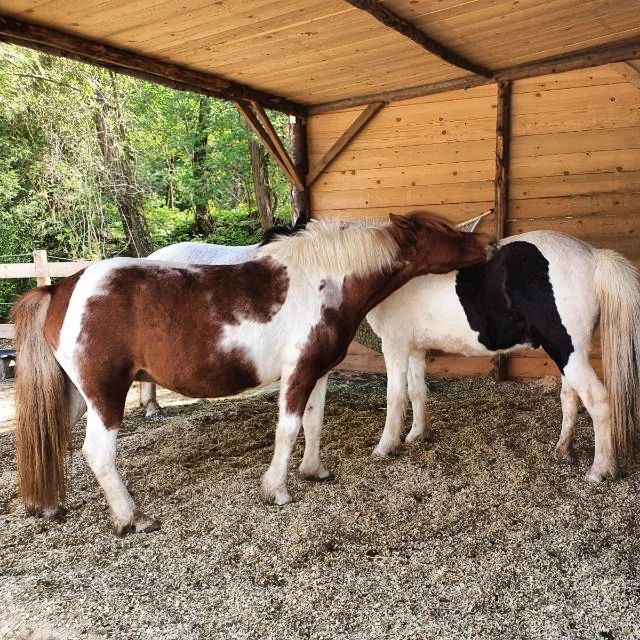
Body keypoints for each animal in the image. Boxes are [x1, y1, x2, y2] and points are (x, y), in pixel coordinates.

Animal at [11, 214, 496, 536]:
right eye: (446, 230)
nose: (489, 246)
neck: (323, 283)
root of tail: (61, 287)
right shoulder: (297, 372)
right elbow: (288, 429)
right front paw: (276, 490)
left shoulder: (317, 371)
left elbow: (314, 423)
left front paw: (314, 471)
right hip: (105, 394)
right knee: (97, 452)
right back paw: (132, 517)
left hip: (76, 395)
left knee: (52, 435)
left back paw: (49, 506)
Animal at [145, 219, 640, 480]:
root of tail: (592, 256)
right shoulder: (416, 350)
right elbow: (418, 394)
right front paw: (417, 436)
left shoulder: (396, 347)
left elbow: (395, 398)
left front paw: (387, 445)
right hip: (567, 351)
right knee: (572, 399)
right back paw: (562, 450)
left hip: (567, 349)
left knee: (597, 401)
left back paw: (601, 469)